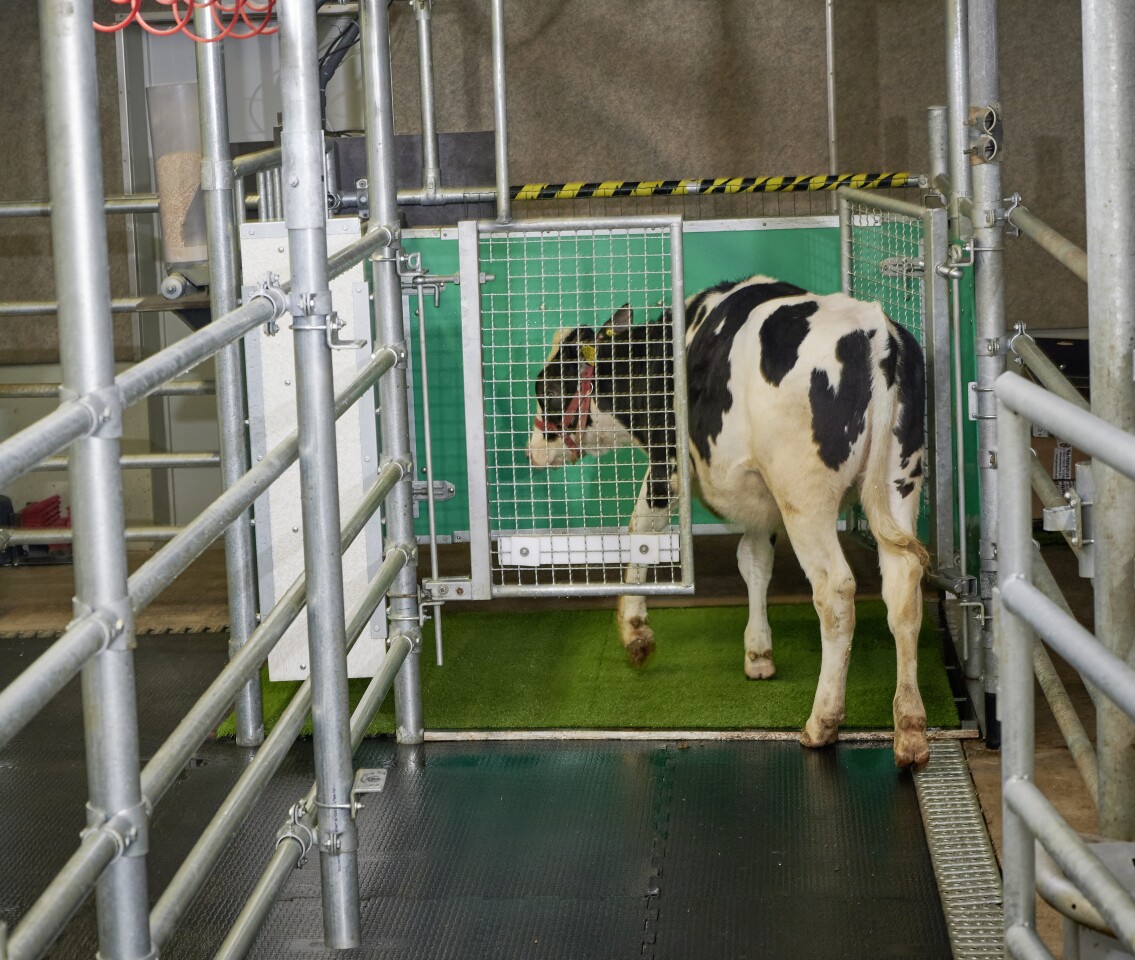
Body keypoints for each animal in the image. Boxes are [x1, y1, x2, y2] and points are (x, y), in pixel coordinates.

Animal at [526, 275, 930, 767]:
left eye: (546, 388)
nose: (530, 449)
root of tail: (876, 331)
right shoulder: (758, 497)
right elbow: (754, 561)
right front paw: (758, 653)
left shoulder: (668, 464)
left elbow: (642, 530)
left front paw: (634, 630)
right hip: (899, 479)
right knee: (904, 586)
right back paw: (910, 728)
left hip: (804, 495)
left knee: (835, 593)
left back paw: (823, 721)